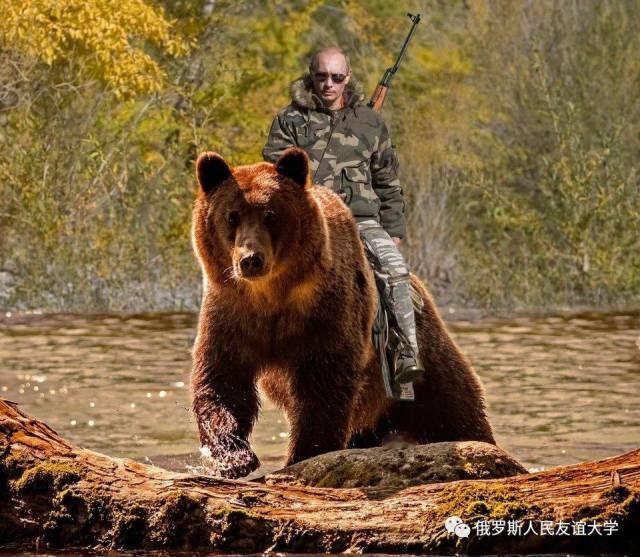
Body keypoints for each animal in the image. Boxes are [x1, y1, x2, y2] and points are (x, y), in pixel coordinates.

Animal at [190, 147, 495, 479]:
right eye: (231, 216)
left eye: (270, 215)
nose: (250, 260)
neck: (272, 295)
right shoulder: (232, 313)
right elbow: (223, 380)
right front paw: (234, 457)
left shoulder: (327, 312)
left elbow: (324, 386)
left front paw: (303, 454)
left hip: (421, 360)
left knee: (454, 408)